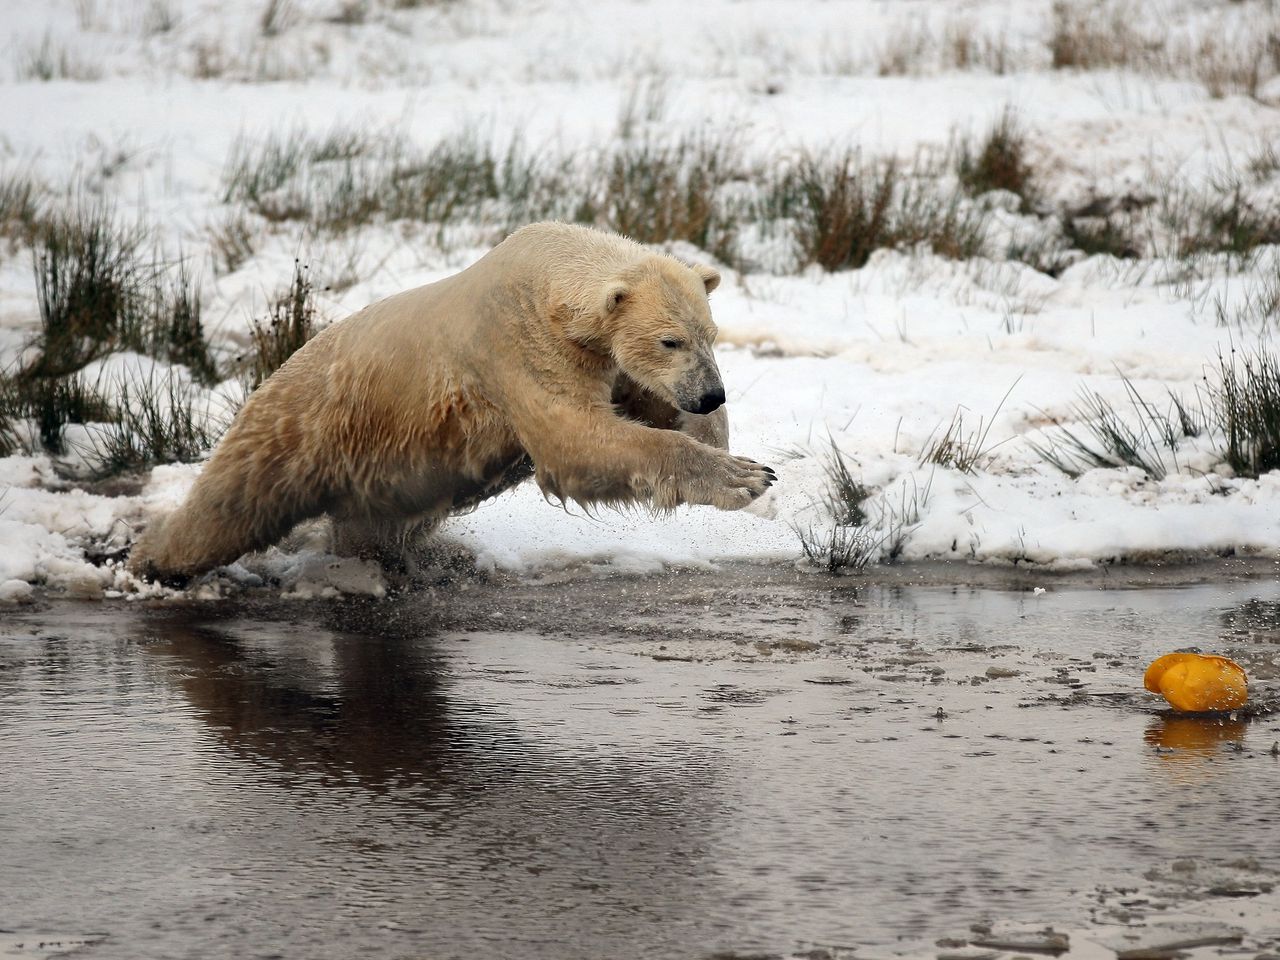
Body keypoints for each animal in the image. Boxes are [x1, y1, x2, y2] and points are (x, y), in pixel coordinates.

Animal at [129, 224, 773, 586]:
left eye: (709, 333)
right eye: (670, 340)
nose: (710, 392)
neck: (547, 274)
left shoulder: (599, 358)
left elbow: (642, 406)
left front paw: (722, 439)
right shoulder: (518, 345)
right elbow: (576, 442)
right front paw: (746, 478)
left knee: (367, 528)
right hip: (297, 430)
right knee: (228, 508)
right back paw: (150, 563)